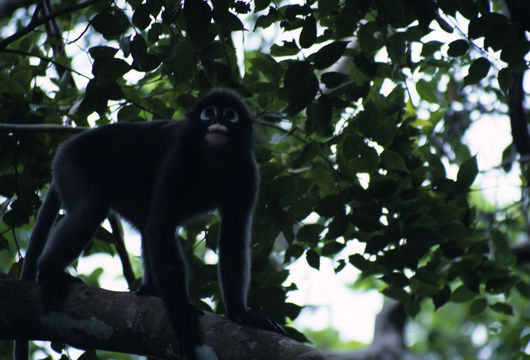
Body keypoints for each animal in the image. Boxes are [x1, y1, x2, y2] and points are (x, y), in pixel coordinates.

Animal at [14, 88, 282, 360]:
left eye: (229, 115)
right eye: (209, 113)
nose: (218, 121)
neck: (213, 156)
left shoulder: (247, 171)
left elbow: (233, 236)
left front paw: (242, 314)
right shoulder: (179, 156)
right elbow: (160, 224)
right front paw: (182, 316)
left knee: (142, 223)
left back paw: (151, 290)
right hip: (70, 163)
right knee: (92, 209)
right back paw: (49, 271)